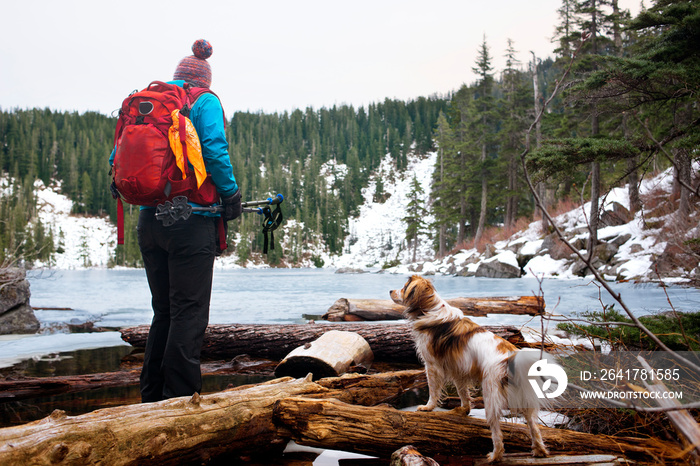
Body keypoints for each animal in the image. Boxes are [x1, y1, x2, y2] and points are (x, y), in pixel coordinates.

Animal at [392, 274, 548, 460]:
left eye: (403, 287)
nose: (390, 290)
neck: (430, 309)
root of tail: (512, 358)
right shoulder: (458, 369)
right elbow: (463, 393)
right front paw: (464, 410)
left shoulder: (432, 365)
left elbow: (433, 390)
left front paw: (427, 408)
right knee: (534, 427)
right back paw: (539, 451)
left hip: (490, 395)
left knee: (497, 432)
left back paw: (495, 456)